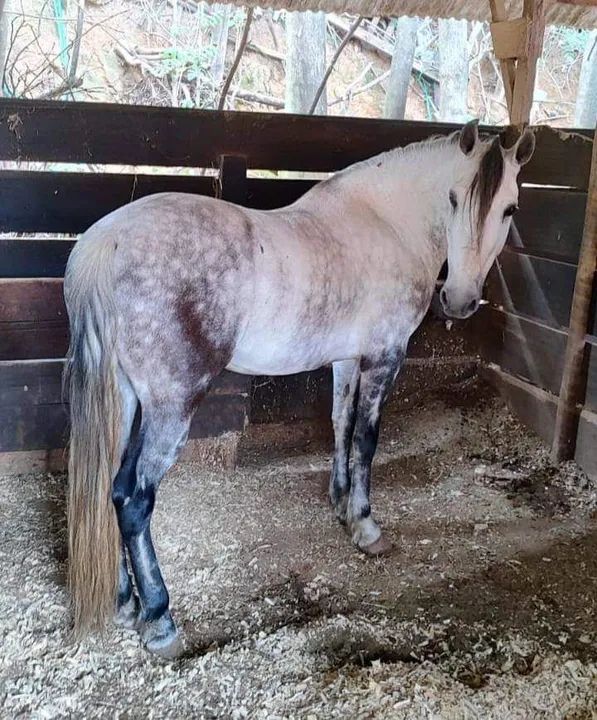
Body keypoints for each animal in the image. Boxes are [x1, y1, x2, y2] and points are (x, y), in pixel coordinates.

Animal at [64, 120, 535, 657]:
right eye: (454, 198)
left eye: (510, 208)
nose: (458, 301)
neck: (387, 223)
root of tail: (106, 243)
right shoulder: (383, 358)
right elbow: (367, 440)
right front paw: (366, 526)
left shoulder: (347, 360)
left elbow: (341, 424)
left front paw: (340, 502)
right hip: (170, 407)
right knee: (134, 499)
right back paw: (159, 618)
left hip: (123, 401)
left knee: (109, 487)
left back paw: (125, 603)